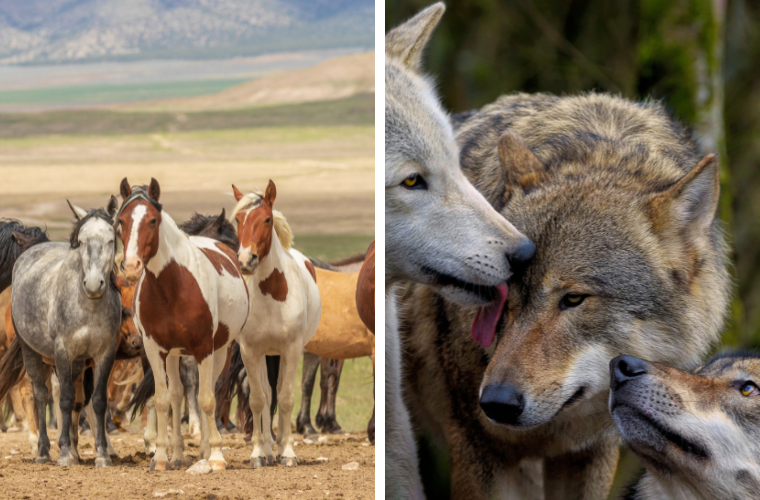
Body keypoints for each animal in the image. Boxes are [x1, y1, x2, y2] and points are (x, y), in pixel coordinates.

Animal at [0, 198, 121, 467]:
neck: (88, 307)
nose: (94, 284)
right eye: (82, 241)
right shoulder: (63, 352)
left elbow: (98, 401)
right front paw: (65, 452)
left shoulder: (105, 354)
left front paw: (102, 454)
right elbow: (64, 400)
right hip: (32, 353)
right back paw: (44, 451)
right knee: (40, 395)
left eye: (111, 239)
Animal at [118, 179, 249, 471]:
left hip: (220, 352)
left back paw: (205, 451)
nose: (131, 266)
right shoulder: (155, 349)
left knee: (209, 392)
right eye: (121, 220)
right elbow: (164, 399)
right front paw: (160, 457)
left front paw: (215, 455)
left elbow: (206, 399)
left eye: (153, 220)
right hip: (173, 355)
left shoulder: (203, 348)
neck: (172, 287)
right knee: (177, 395)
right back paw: (177, 454)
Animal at [231, 180, 321, 467]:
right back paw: (271, 449)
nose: (246, 260)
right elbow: (259, 399)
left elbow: (286, 397)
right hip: (264, 356)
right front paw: (259, 453)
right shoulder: (250, 351)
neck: (272, 293)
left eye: (267, 219)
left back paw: (281, 446)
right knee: (267, 394)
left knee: (280, 393)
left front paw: (289, 452)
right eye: (239, 219)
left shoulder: (291, 350)